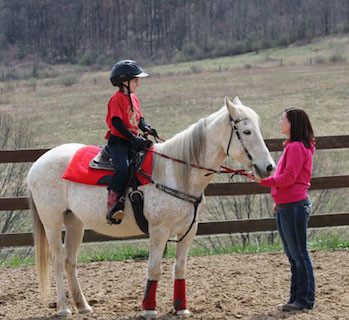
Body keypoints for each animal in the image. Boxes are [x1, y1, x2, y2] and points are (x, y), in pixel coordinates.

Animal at [27, 97, 274, 318]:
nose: (269, 167)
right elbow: (154, 268)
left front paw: (181, 308)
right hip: (52, 221)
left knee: (70, 260)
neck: (177, 173)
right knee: (58, 260)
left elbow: (180, 267)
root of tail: (37, 165)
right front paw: (149, 308)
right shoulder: (158, 231)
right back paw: (63, 308)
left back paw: (83, 306)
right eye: (247, 131)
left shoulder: (189, 231)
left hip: (74, 221)